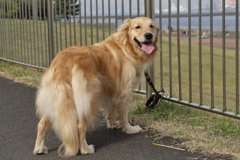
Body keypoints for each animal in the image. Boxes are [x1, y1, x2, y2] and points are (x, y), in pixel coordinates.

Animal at [32, 16, 159, 157]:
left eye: (152, 26)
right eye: (137, 27)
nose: (149, 35)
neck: (127, 47)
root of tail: (63, 62)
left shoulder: (110, 91)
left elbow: (110, 110)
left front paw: (112, 124)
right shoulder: (124, 92)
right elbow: (123, 114)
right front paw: (129, 128)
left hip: (55, 98)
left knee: (41, 124)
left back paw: (39, 148)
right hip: (88, 99)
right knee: (80, 126)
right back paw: (86, 149)